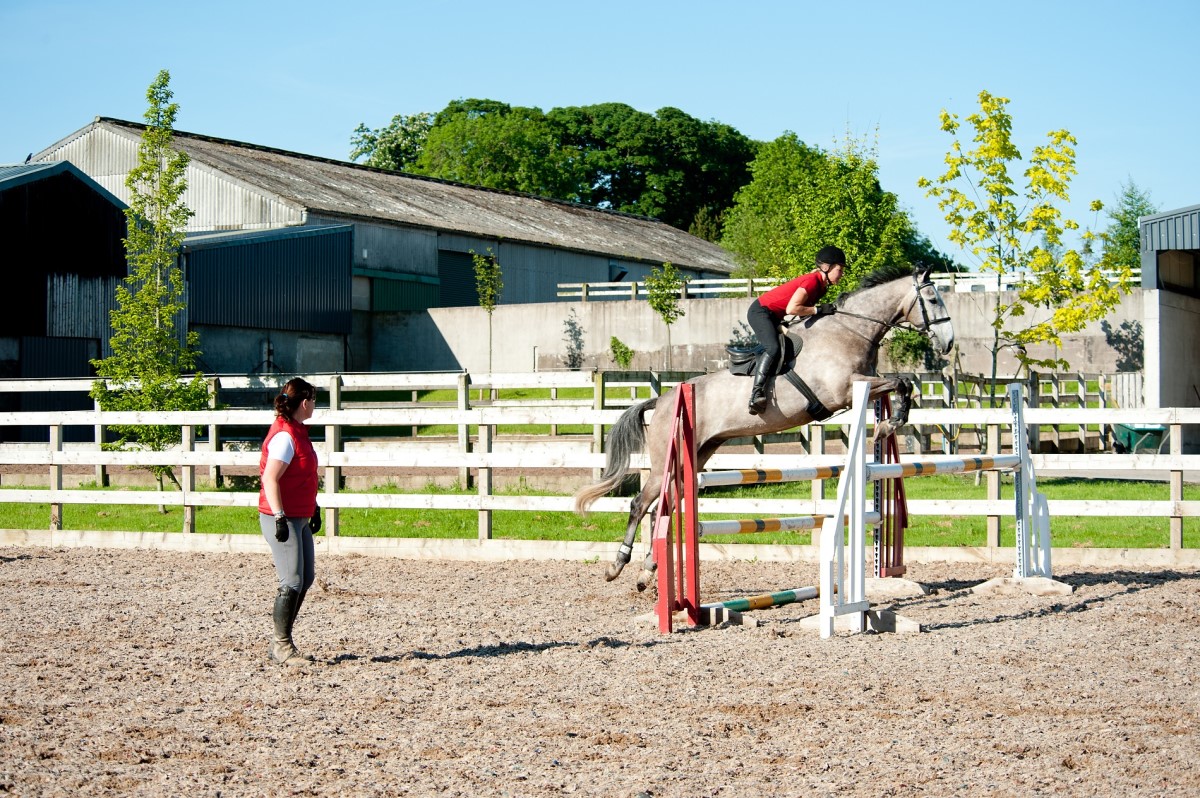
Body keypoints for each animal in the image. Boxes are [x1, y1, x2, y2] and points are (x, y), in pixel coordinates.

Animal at [573, 263, 954, 590]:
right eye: (933, 298)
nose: (948, 342)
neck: (851, 330)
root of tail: (664, 400)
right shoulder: (845, 391)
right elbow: (902, 381)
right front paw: (889, 425)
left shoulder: (864, 385)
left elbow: (903, 383)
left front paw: (890, 423)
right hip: (667, 458)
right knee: (641, 504)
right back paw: (618, 566)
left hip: (696, 454)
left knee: (665, 506)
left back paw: (647, 570)